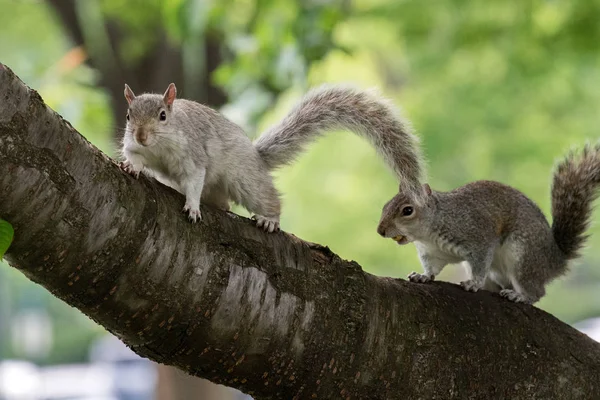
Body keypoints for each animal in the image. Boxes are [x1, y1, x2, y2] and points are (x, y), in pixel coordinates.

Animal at [120, 84, 422, 233]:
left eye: (163, 115)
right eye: (128, 116)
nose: (141, 135)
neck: (158, 147)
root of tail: (256, 156)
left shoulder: (193, 155)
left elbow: (194, 180)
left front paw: (192, 207)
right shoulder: (136, 147)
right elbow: (135, 156)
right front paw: (130, 167)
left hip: (245, 179)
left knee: (267, 198)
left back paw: (269, 220)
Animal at [378, 141, 600, 304]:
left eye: (407, 210)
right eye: (385, 205)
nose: (380, 230)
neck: (429, 234)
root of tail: (556, 259)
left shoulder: (478, 238)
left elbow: (480, 263)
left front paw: (474, 283)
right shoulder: (432, 253)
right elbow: (432, 268)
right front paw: (422, 276)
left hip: (523, 257)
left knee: (536, 291)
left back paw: (519, 295)